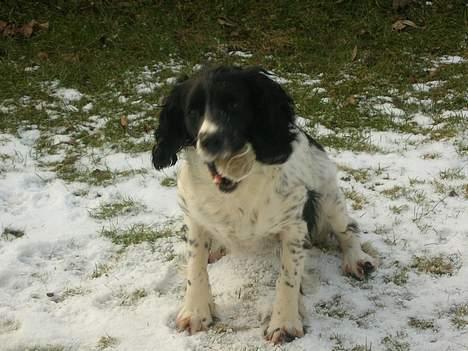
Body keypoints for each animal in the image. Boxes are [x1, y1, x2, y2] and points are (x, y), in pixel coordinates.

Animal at [152, 66, 378, 344]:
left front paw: (284, 322)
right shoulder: (193, 216)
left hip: (327, 197)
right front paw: (195, 312)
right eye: (192, 111)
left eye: (234, 105)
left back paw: (357, 259)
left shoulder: (294, 225)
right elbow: (195, 267)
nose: (209, 140)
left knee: (349, 229)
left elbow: (288, 277)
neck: (237, 186)